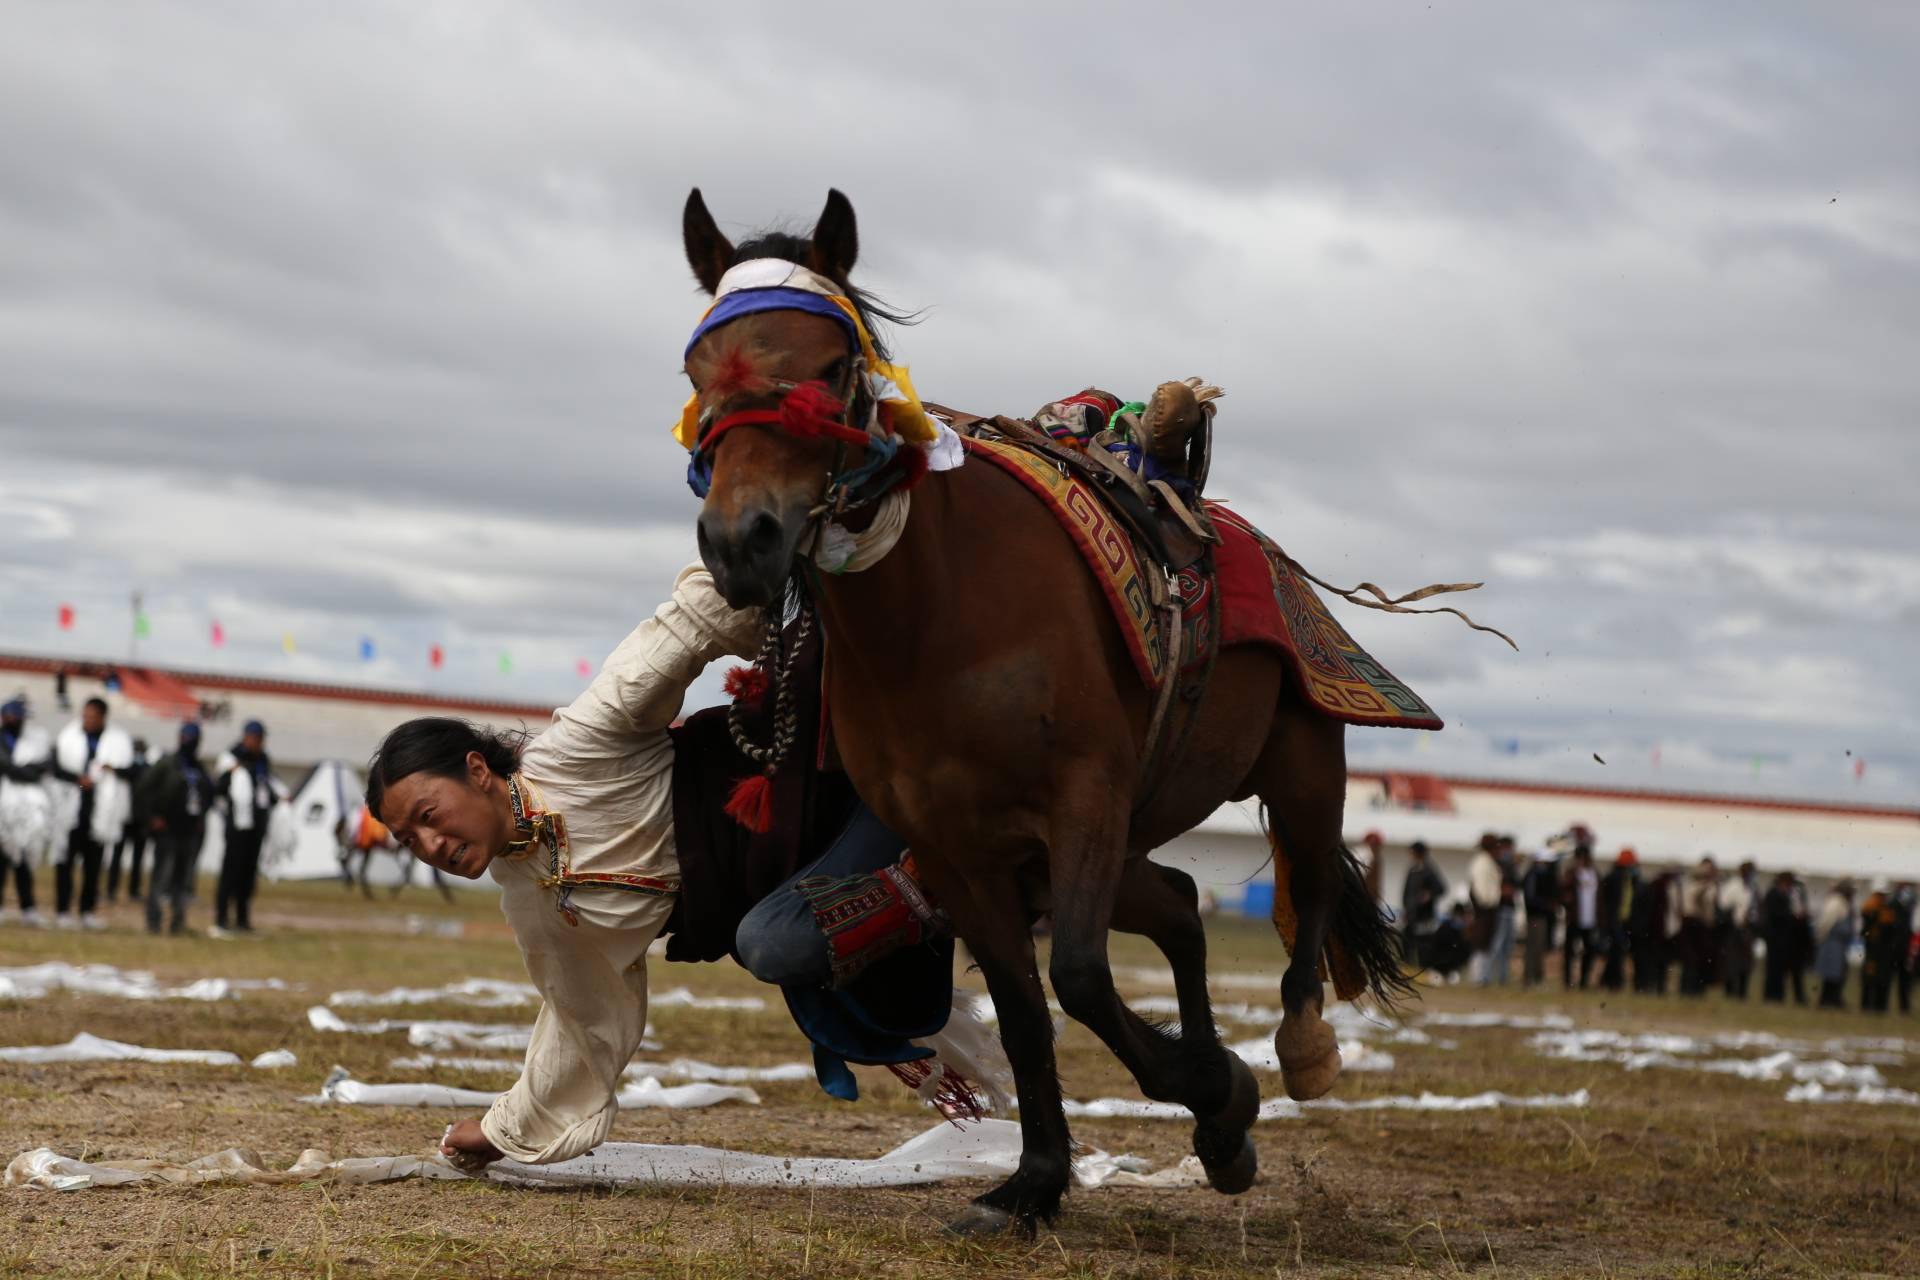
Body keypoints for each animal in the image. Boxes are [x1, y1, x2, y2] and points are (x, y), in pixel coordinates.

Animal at [683, 188, 1405, 1228]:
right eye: (697, 373)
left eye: (828, 368)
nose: (742, 541)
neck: (938, 617)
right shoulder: (956, 848)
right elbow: (1028, 1012)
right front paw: (1037, 1179)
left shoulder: (1082, 801)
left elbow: (1079, 978)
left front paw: (1215, 1089)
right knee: (1179, 905)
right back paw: (1218, 1121)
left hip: (1300, 770)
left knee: (1304, 896)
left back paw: (1295, 1053)